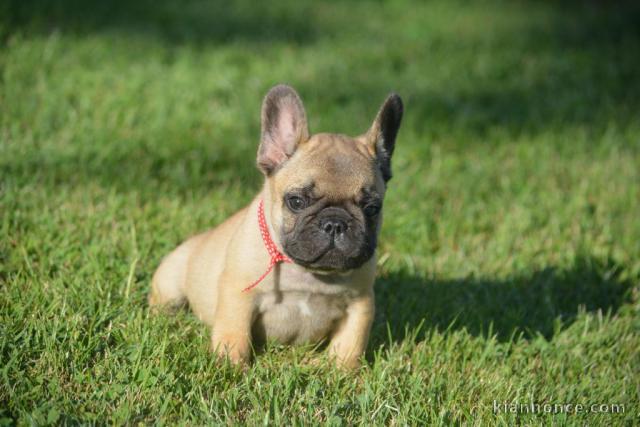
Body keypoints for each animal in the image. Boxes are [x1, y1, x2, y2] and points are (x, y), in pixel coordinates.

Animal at [148, 85, 402, 370]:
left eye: (372, 208)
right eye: (296, 201)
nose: (335, 224)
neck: (308, 273)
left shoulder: (360, 304)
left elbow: (350, 344)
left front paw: (342, 371)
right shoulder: (239, 297)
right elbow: (234, 335)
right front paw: (231, 368)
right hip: (170, 283)